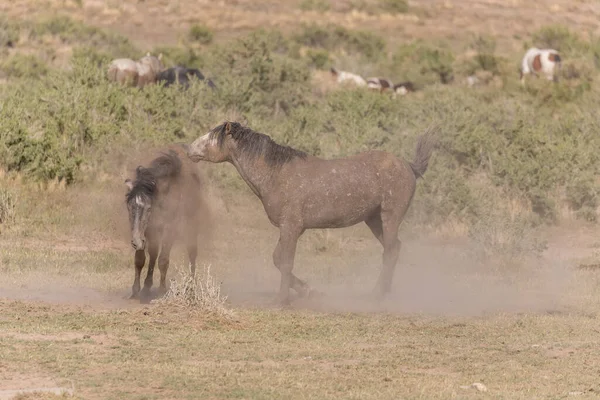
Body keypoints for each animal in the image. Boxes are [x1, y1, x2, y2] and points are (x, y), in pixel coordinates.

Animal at [124, 145, 211, 302]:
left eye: (149, 208)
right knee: (153, 255)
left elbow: (163, 260)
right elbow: (140, 260)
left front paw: (161, 291)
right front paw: (136, 290)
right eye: (129, 207)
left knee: (192, 254)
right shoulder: (148, 231)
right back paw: (147, 287)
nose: (136, 242)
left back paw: (191, 286)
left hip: (191, 229)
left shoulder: (169, 230)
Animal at [188, 121, 436, 304]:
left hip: (389, 217)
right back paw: (383, 291)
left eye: (212, 137)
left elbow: (286, 262)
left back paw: (377, 294)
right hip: (374, 220)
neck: (276, 174)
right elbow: (278, 259)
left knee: (391, 251)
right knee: (393, 249)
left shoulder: (291, 227)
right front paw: (310, 291)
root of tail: (409, 166)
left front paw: (282, 300)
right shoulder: (291, 229)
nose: (189, 149)